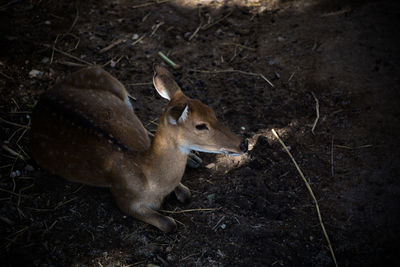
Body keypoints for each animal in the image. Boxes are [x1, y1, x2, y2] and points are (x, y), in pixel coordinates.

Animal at [31, 65, 248, 232]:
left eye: (213, 112)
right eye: (201, 125)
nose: (243, 143)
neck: (150, 179)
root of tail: (44, 96)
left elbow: (185, 194)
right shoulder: (124, 198)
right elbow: (169, 224)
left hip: (107, 78)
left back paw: (194, 159)